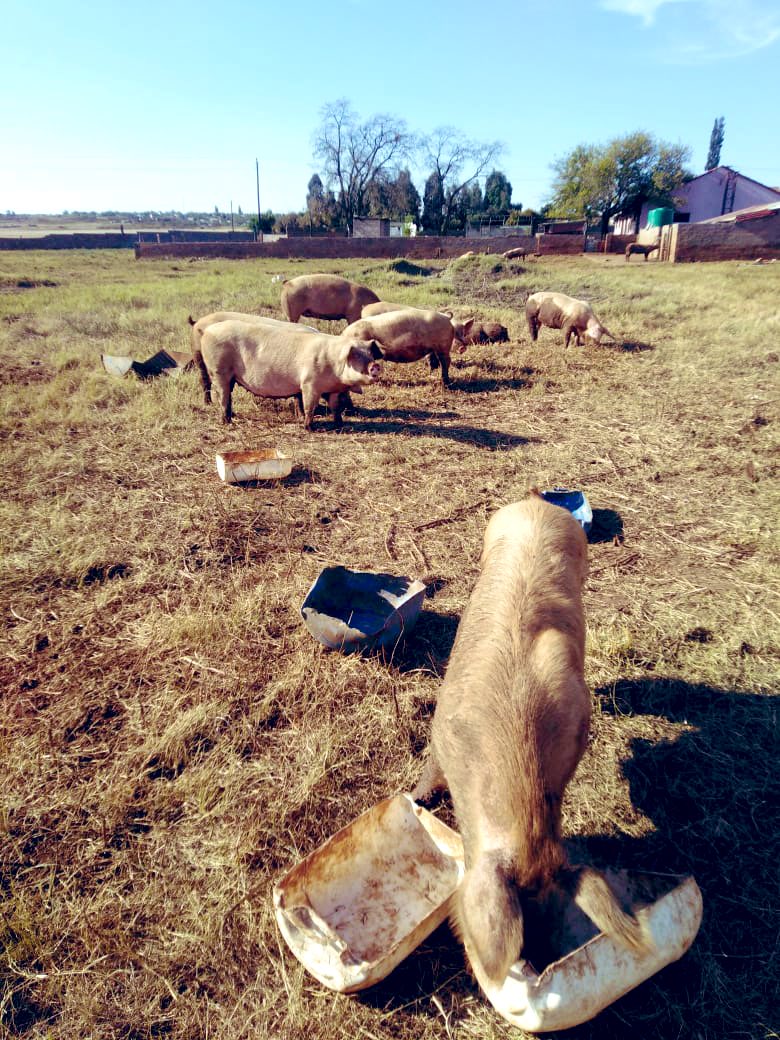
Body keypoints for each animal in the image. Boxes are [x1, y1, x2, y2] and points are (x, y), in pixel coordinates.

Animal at [195, 319, 382, 429]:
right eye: (356, 355)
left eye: (370, 354)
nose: (375, 365)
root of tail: (207, 331)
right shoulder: (309, 384)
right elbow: (309, 406)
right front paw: (308, 427)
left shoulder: (333, 389)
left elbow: (335, 406)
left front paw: (339, 424)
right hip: (218, 370)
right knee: (223, 396)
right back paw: (226, 422)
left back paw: (230, 417)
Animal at [345, 307, 476, 386]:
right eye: (456, 333)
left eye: (463, 333)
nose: (462, 346)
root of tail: (446, 318)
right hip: (436, 348)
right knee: (435, 360)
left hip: (442, 346)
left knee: (445, 361)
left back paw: (445, 382)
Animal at [413, 492, 648, 988]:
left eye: (556, 918)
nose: (537, 962)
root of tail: (536, 501)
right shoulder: (442, 724)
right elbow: (431, 765)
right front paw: (420, 799)